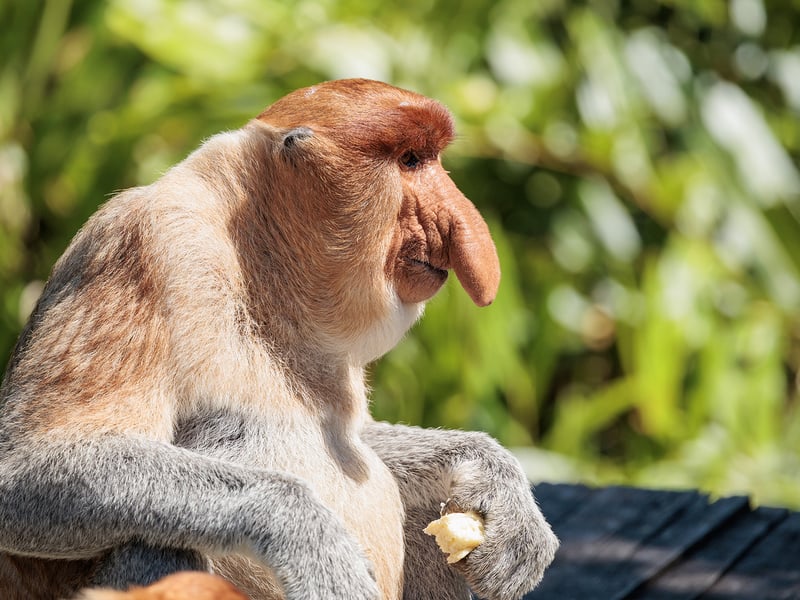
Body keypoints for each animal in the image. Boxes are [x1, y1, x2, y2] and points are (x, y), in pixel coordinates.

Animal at [0, 79, 558, 600]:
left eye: (430, 159)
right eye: (410, 160)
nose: (461, 223)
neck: (257, 265)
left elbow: (362, 437)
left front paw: (499, 487)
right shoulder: (143, 247)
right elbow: (25, 467)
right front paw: (318, 548)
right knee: (157, 542)